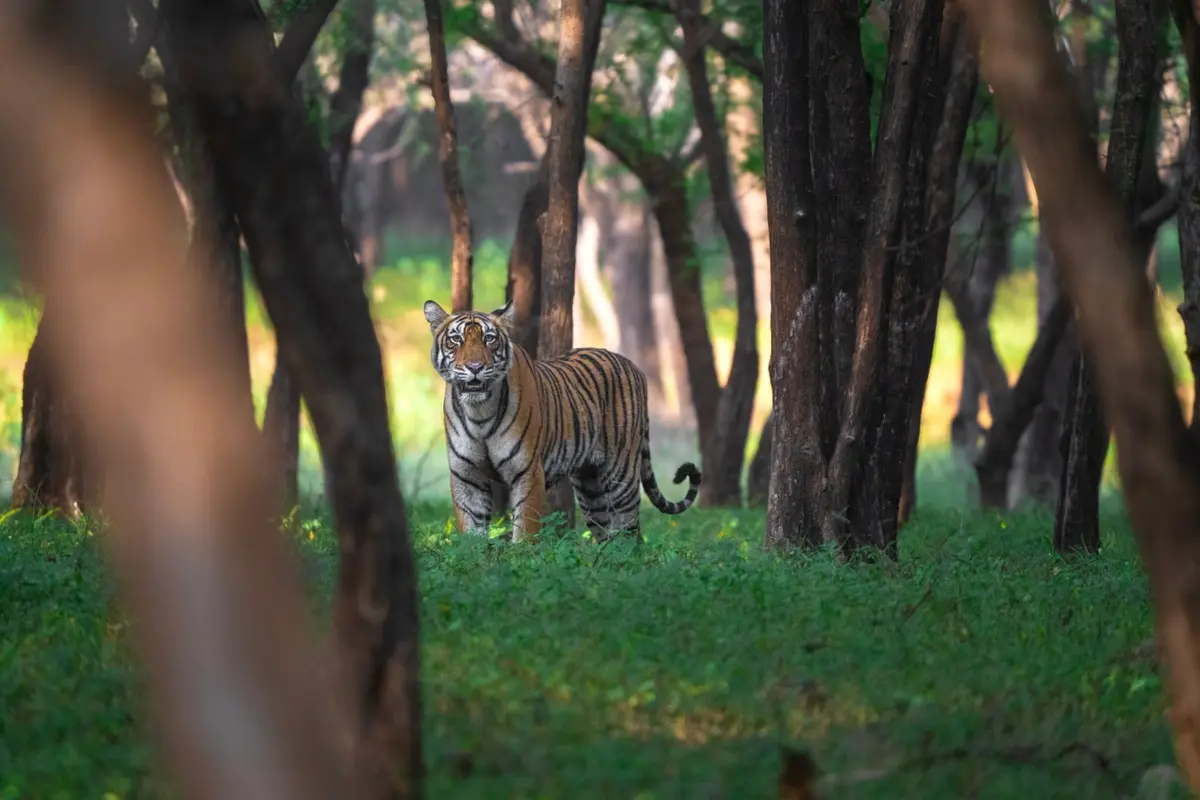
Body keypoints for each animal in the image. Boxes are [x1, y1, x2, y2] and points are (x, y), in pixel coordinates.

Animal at [423, 298, 701, 543]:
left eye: (489, 339)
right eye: (456, 340)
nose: (475, 367)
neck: (478, 412)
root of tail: (634, 366)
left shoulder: (528, 471)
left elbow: (524, 530)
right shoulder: (466, 475)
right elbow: (471, 533)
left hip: (620, 477)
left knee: (631, 533)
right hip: (591, 487)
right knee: (608, 536)